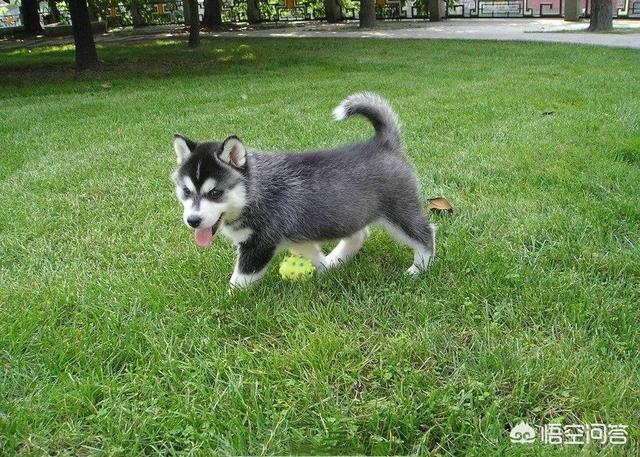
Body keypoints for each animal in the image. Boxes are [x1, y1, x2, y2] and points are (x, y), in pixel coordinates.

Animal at [172, 91, 438, 286]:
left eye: (215, 193)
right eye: (186, 192)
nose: (193, 221)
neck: (254, 192)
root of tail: (383, 143)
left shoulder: (259, 244)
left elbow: (241, 278)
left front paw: (228, 299)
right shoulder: (297, 238)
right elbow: (313, 253)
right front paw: (324, 269)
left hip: (399, 210)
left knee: (426, 234)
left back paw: (419, 267)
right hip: (349, 212)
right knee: (359, 233)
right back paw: (336, 260)